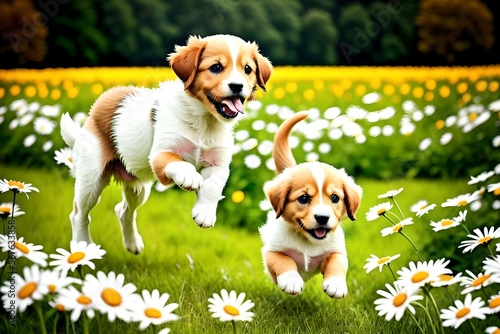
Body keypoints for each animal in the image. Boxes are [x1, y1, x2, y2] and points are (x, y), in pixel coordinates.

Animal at [61, 34, 274, 253]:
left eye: (247, 69)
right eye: (216, 67)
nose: (237, 86)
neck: (204, 122)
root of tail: (101, 102)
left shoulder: (218, 163)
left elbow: (213, 186)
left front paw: (205, 213)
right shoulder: (160, 154)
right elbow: (179, 162)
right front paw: (190, 177)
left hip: (138, 188)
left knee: (123, 210)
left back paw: (132, 244)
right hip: (91, 178)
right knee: (79, 214)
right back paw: (82, 245)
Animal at [260, 111, 362, 298]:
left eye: (335, 198)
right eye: (303, 198)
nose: (322, 218)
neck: (307, 241)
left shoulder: (337, 250)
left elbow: (337, 262)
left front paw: (336, 284)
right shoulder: (271, 250)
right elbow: (284, 260)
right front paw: (291, 281)